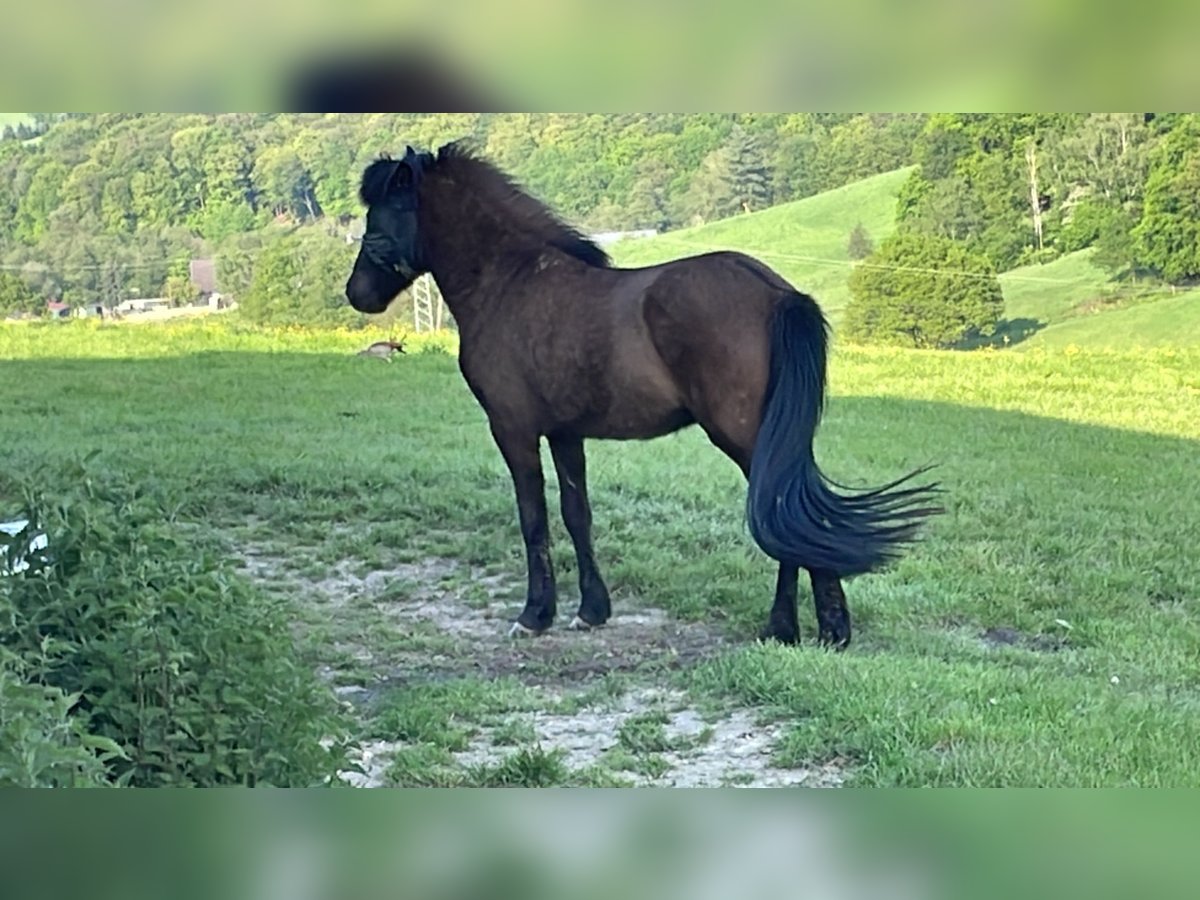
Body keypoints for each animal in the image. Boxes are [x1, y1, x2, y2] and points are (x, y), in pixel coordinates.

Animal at [343, 142, 940, 648]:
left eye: (381, 216)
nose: (357, 293)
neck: (511, 282)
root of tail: (776, 292)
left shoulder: (514, 431)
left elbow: (534, 518)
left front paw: (535, 615)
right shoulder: (565, 434)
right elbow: (576, 513)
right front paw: (591, 610)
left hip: (744, 437)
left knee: (782, 512)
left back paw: (798, 628)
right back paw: (812, 627)